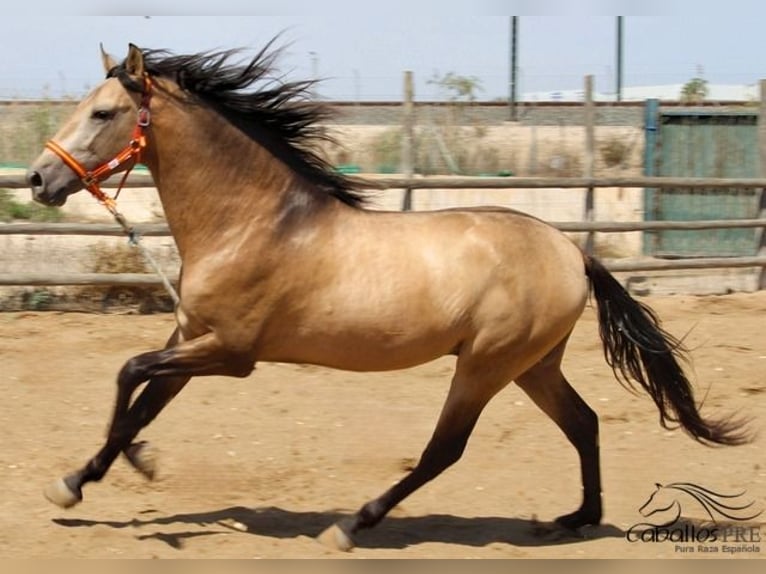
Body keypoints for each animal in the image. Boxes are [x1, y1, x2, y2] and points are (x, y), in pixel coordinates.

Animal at [25, 42, 752, 552]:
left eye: (103, 112)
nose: (37, 178)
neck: (254, 223)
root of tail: (572, 251)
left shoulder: (230, 353)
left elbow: (129, 373)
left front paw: (96, 477)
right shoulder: (189, 338)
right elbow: (142, 401)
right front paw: (94, 475)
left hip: (486, 364)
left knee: (444, 451)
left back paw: (353, 525)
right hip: (533, 365)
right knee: (584, 424)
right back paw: (575, 518)